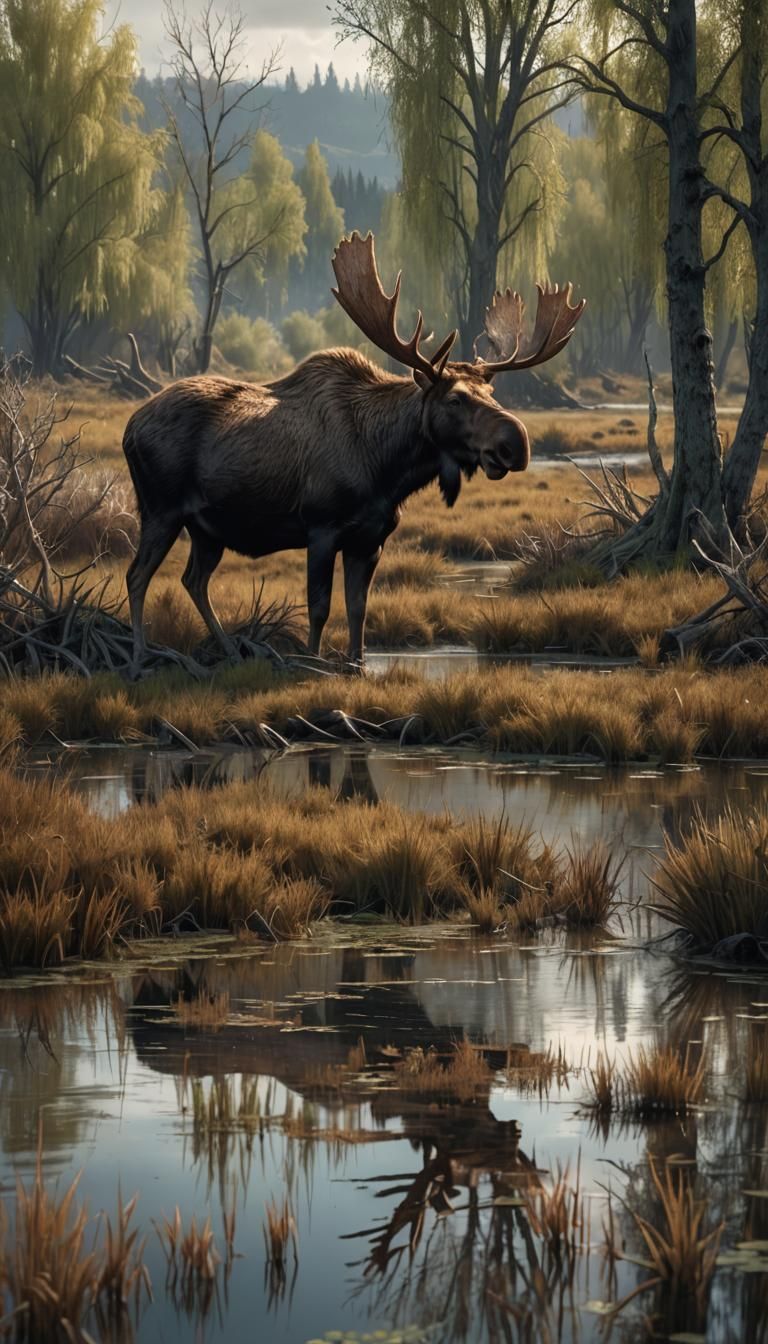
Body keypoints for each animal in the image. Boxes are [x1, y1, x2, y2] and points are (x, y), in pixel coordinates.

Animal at [123, 232, 585, 667]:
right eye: (455, 399)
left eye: (490, 392)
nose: (516, 443)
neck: (387, 469)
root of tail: (129, 428)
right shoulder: (321, 528)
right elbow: (319, 608)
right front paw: (312, 662)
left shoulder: (370, 539)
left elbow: (358, 608)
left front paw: (358, 664)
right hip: (161, 509)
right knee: (137, 575)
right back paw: (140, 656)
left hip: (207, 528)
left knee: (193, 581)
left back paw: (229, 652)